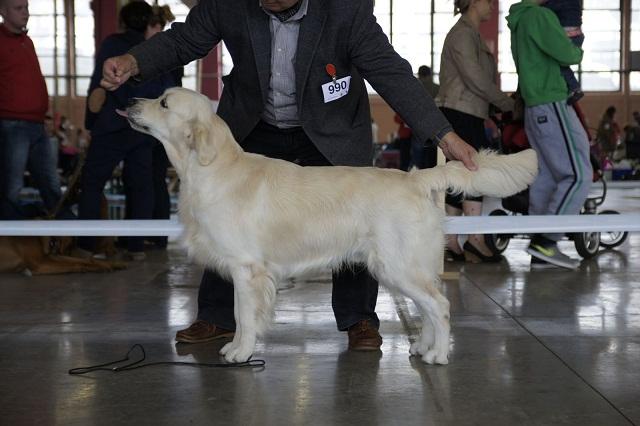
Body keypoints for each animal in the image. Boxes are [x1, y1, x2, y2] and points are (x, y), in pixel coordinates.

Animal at [121, 87, 540, 366]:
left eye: (164, 102)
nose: (128, 103)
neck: (210, 168)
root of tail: (416, 178)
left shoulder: (246, 268)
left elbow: (244, 315)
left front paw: (241, 351)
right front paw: (238, 346)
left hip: (397, 265)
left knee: (440, 304)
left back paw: (437, 354)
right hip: (406, 265)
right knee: (429, 305)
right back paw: (422, 345)